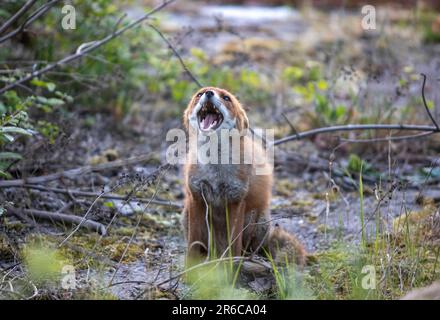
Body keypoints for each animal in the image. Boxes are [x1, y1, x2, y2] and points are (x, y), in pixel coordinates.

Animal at [182, 87, 306, 268]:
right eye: (199, 94)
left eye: (226, 98)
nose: (209, 93)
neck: (215, 168)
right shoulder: (196, 196)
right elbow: (193, 243)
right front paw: (191, 268)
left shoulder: (236, 199)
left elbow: (234, 245)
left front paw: (231, 265)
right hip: (187, 215)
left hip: (258, 221)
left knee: (248, 248)